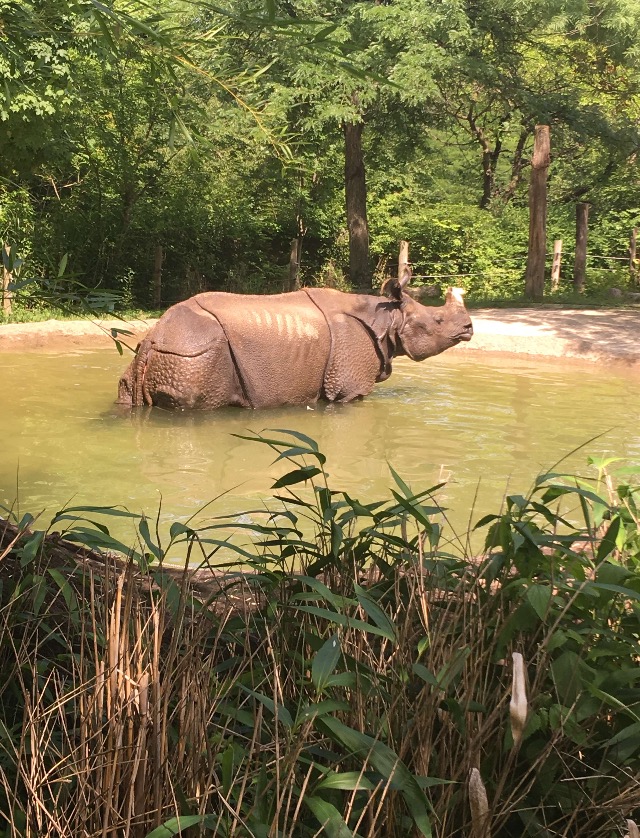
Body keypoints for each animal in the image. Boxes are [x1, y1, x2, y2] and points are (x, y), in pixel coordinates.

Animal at [117, 268, 473, 410]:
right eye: (438, 320)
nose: (469, 328)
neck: (387, 316)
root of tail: (155, 337)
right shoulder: (348, 387)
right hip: (195, 356)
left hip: (162, 354)